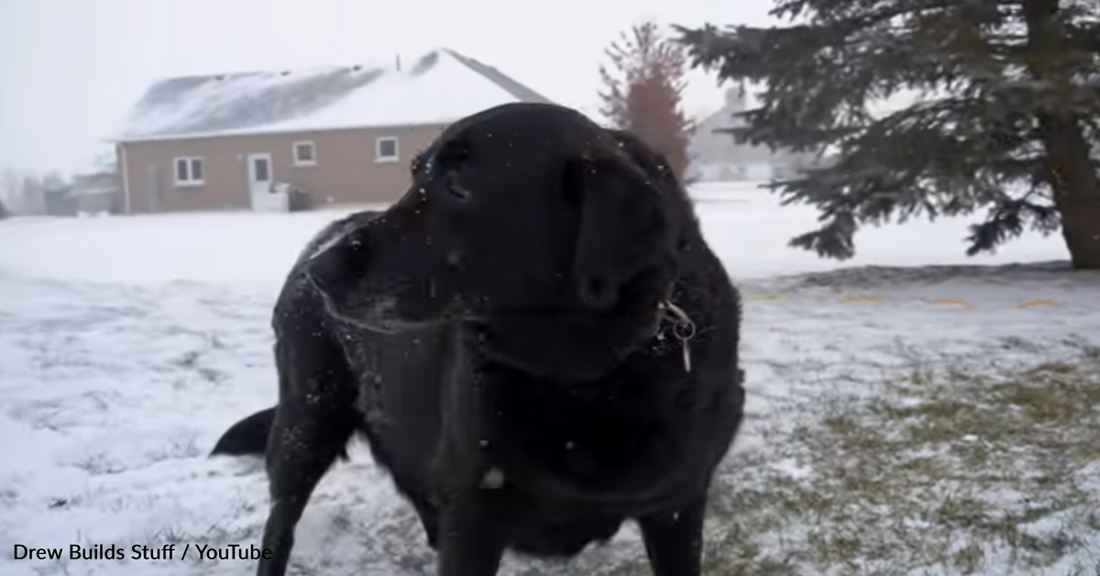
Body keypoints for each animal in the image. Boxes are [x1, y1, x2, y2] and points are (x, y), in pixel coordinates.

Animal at [210, 102, 743, 576]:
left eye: (459, 185)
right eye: (415, 173)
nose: (319, 273)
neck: (587, 373)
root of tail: (323, 233)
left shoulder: (678, 506)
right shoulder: (474, 517)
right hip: (305, 422)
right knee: (281, 525)